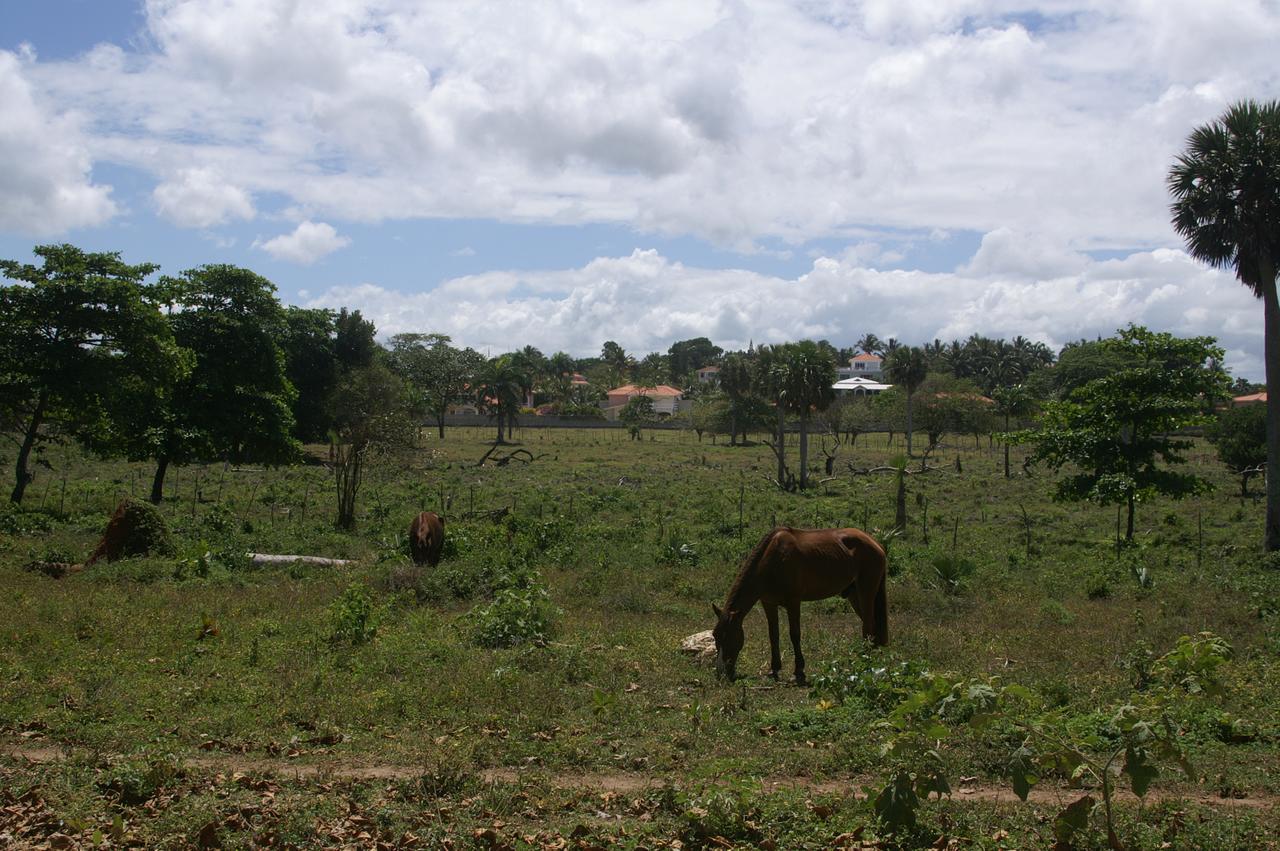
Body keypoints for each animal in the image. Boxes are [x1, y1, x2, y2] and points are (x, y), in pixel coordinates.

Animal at [711, 524, 890, 685]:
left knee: (868, 624)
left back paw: (866, 658)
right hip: (854, 594)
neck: (773, 560)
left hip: (866, 591)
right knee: (871, 624)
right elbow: (773, 635)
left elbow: (794, 635)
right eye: (715, 635)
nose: (721, 672)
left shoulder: (793, 602)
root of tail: (876, 543)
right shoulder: (768, 603)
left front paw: (798, 671)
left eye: (730, 636)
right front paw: (774, 669)